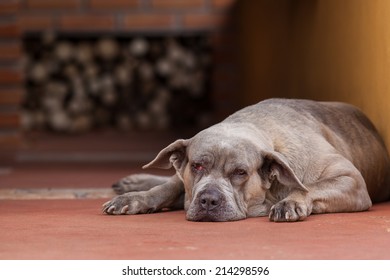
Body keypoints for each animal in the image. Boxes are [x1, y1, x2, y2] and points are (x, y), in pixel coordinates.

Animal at [101, 99, 390, 222]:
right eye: (197, 165)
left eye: (240, 172)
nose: (208, 200)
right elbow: (166, 188)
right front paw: (135, 198)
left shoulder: (351, 180)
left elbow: (309, 187)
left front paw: (292, 202)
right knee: (171, 181)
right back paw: (133, 185)